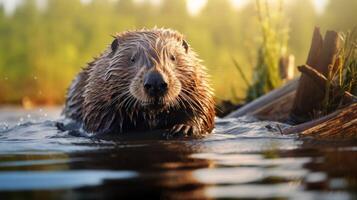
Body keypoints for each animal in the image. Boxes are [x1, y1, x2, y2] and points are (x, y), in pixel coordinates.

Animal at [62, 28, 214, 137]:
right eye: (132, 59)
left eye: (173, 57)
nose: (156, 82)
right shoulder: (97, 90)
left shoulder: (198, 84)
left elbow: (203, 108)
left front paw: (183, 128)